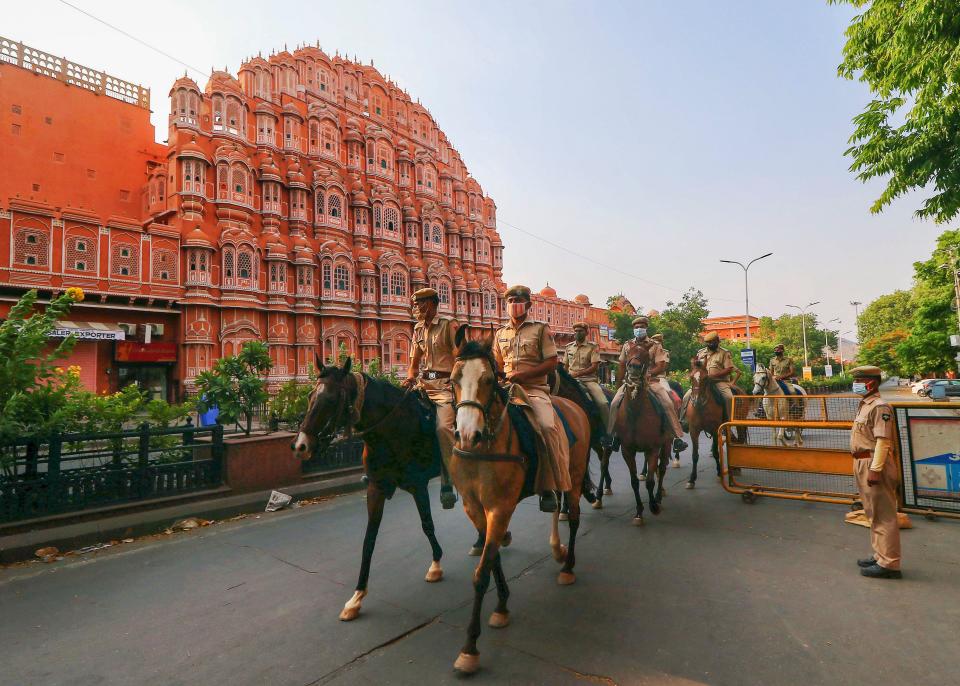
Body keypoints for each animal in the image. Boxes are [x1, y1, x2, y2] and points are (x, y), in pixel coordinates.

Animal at [292, 360, 446, 624]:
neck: (390, 429)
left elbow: (427, 524)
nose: (301, 445)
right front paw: (356, 597)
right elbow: (368, 541)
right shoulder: (376, 488)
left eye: (332, 399)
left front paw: (436, 564)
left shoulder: (418, 483)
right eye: (310, 396)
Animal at [450, 330, 592, 676]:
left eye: (489, 379)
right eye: (453, 379)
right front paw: (501, 606)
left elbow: (482, 572)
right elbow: (493, 558)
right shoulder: (474, 508)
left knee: (574, 515)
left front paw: (470, 647)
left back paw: (567, 565)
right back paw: (557, 549)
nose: (467, 434)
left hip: (574, 471)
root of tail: (571, 405)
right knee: (555, 501)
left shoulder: (500, 507)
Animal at [596, 346, 672, 524]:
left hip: (666, 443)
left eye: (646, 354)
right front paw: (638, 512)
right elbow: (634, 481)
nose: (634, 367)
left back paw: (658, 498)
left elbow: (650, 481)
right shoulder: (627, 450)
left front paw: (653, 506)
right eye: (628, 353)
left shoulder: (653, 448)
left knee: (662, 468)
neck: (636, 413)